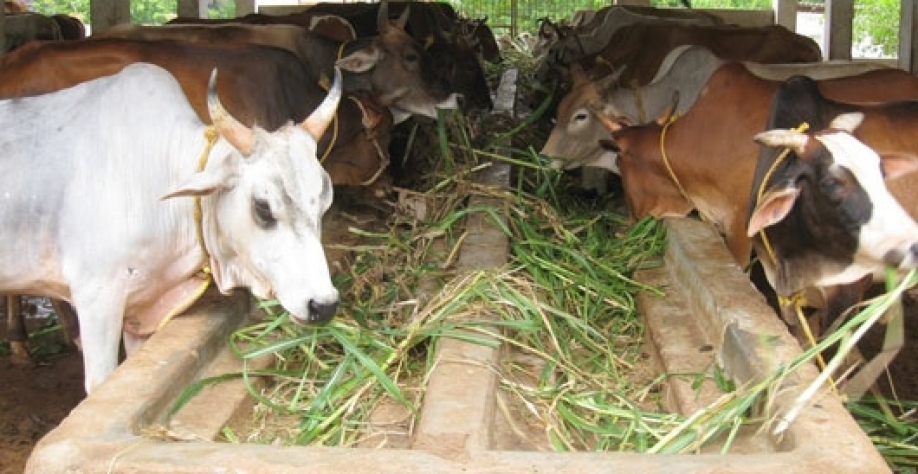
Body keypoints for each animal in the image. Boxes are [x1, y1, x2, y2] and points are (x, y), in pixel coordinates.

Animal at [0, 62, 342, 393]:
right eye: (262, 207)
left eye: (325, 202)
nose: (323, 305)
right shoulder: (96, 295)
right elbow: (100, 383)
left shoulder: (140, 308)